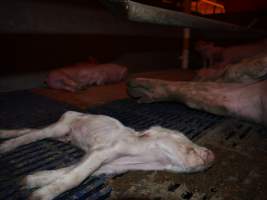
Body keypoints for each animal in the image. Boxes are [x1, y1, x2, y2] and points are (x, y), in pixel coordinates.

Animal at [0, 111, 215, 199]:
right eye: (188, 144)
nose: (212, 154)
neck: (143, 158)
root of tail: (69, 113)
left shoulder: (111, 167)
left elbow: (72, 171)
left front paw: (27, 181)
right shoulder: (103, 151)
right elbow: (76, 177)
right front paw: (38, 197)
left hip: (62, 135)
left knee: (28, 130)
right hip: (59, 128)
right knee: (31, 135)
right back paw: (5, 148)